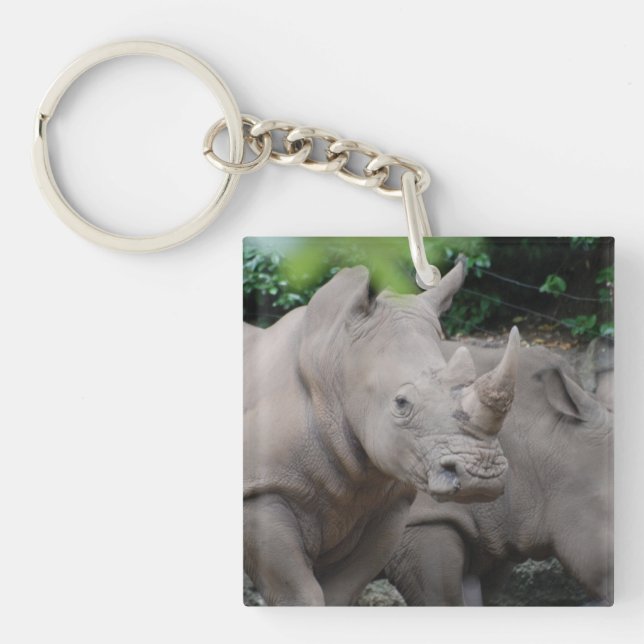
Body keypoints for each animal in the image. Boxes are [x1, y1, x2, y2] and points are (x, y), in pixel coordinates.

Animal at [244, 262, 520, 605]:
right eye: (401, 403)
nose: (481, 475)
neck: (334, 368)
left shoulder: (387, 504)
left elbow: (341, 591)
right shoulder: (262, 490)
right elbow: (299, 594)